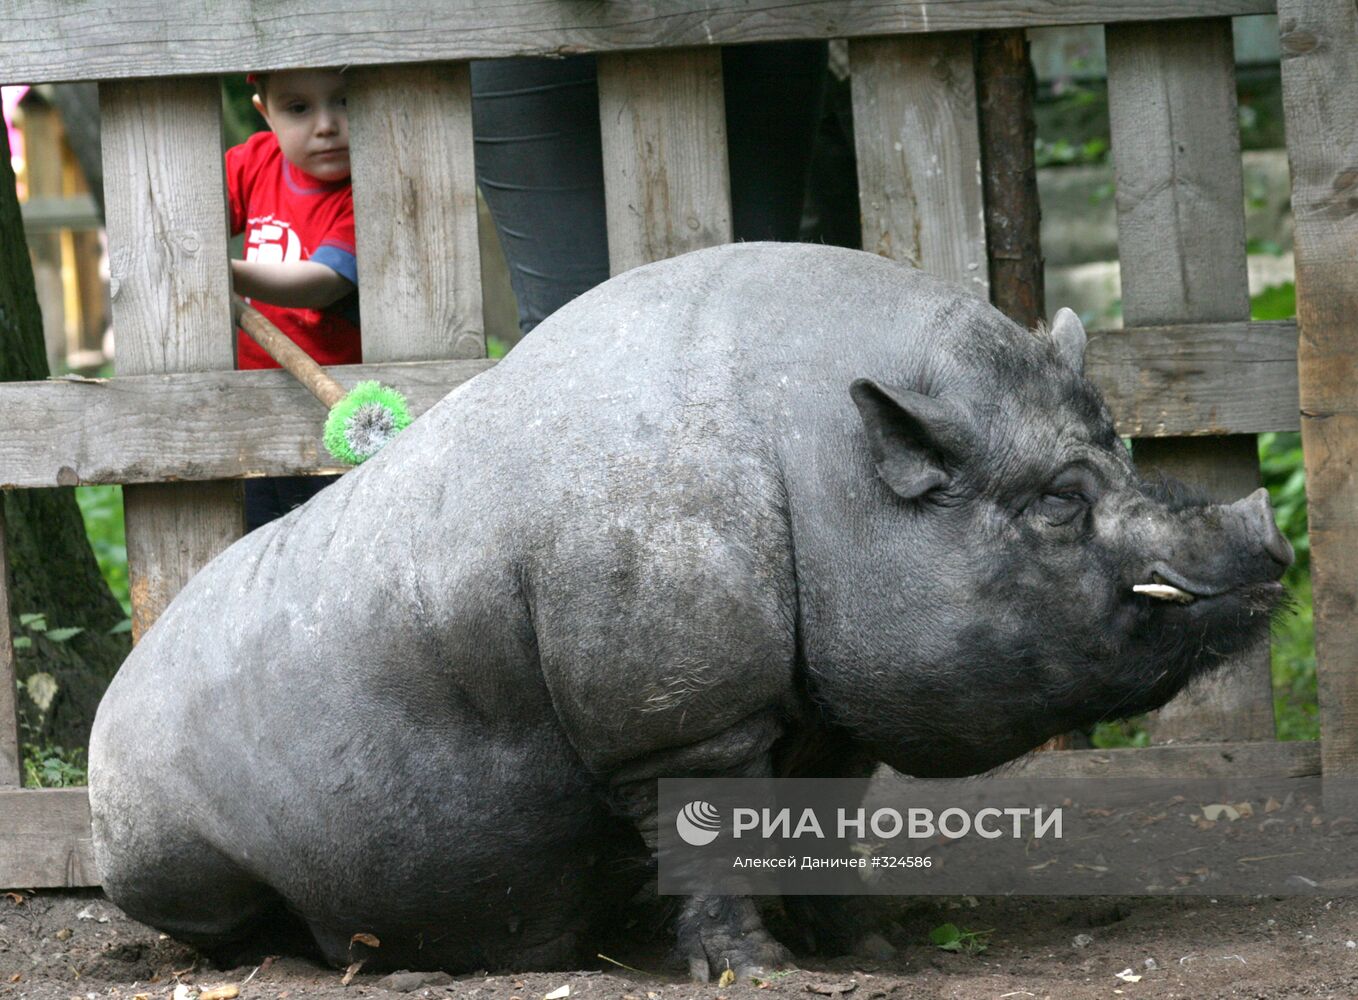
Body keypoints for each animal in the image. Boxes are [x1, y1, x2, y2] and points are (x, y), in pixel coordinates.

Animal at [87, 244, 1292, 983]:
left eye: (1122, 456)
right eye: (1055, 504)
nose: (1266, 548)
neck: (833, 468)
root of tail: (111, 691)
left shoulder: (829, 708)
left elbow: (822, 825)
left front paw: (878, 954)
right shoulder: (675, 716)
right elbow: (710, 833)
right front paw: (760, 974)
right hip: (144, 820)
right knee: (202, 906)